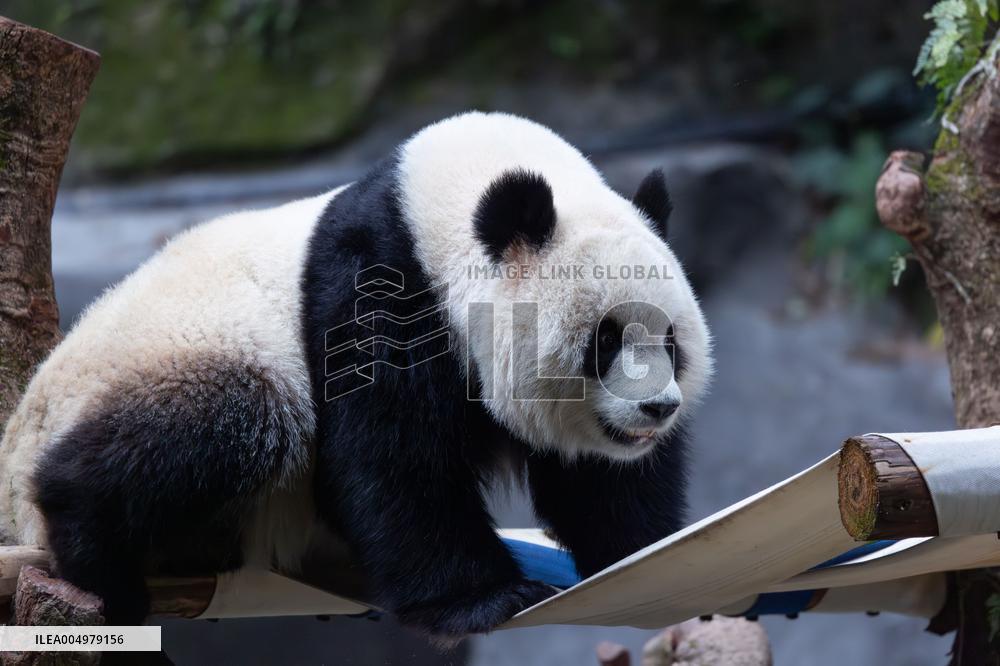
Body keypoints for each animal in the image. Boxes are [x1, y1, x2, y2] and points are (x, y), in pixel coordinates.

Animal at [0, 112, 711, 640]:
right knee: (224, 420)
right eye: (605, 340)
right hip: (177, 355)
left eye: (670, 340)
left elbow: (604, 483)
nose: (658, 409)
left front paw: (648, 556)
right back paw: (97, 557)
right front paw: (484, 599)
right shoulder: (380, 283)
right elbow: (389, 454)